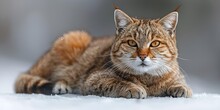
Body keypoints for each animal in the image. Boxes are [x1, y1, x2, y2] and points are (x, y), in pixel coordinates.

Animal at [14, 8, 192, 98]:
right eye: (131, 43)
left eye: (155, 43)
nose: (142, 56)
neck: (147, 78)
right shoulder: (93, 79)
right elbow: (117, 82)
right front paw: (133, 88)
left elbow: (180, 83)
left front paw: (180, 88)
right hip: (74, 38)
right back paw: (61, 85)